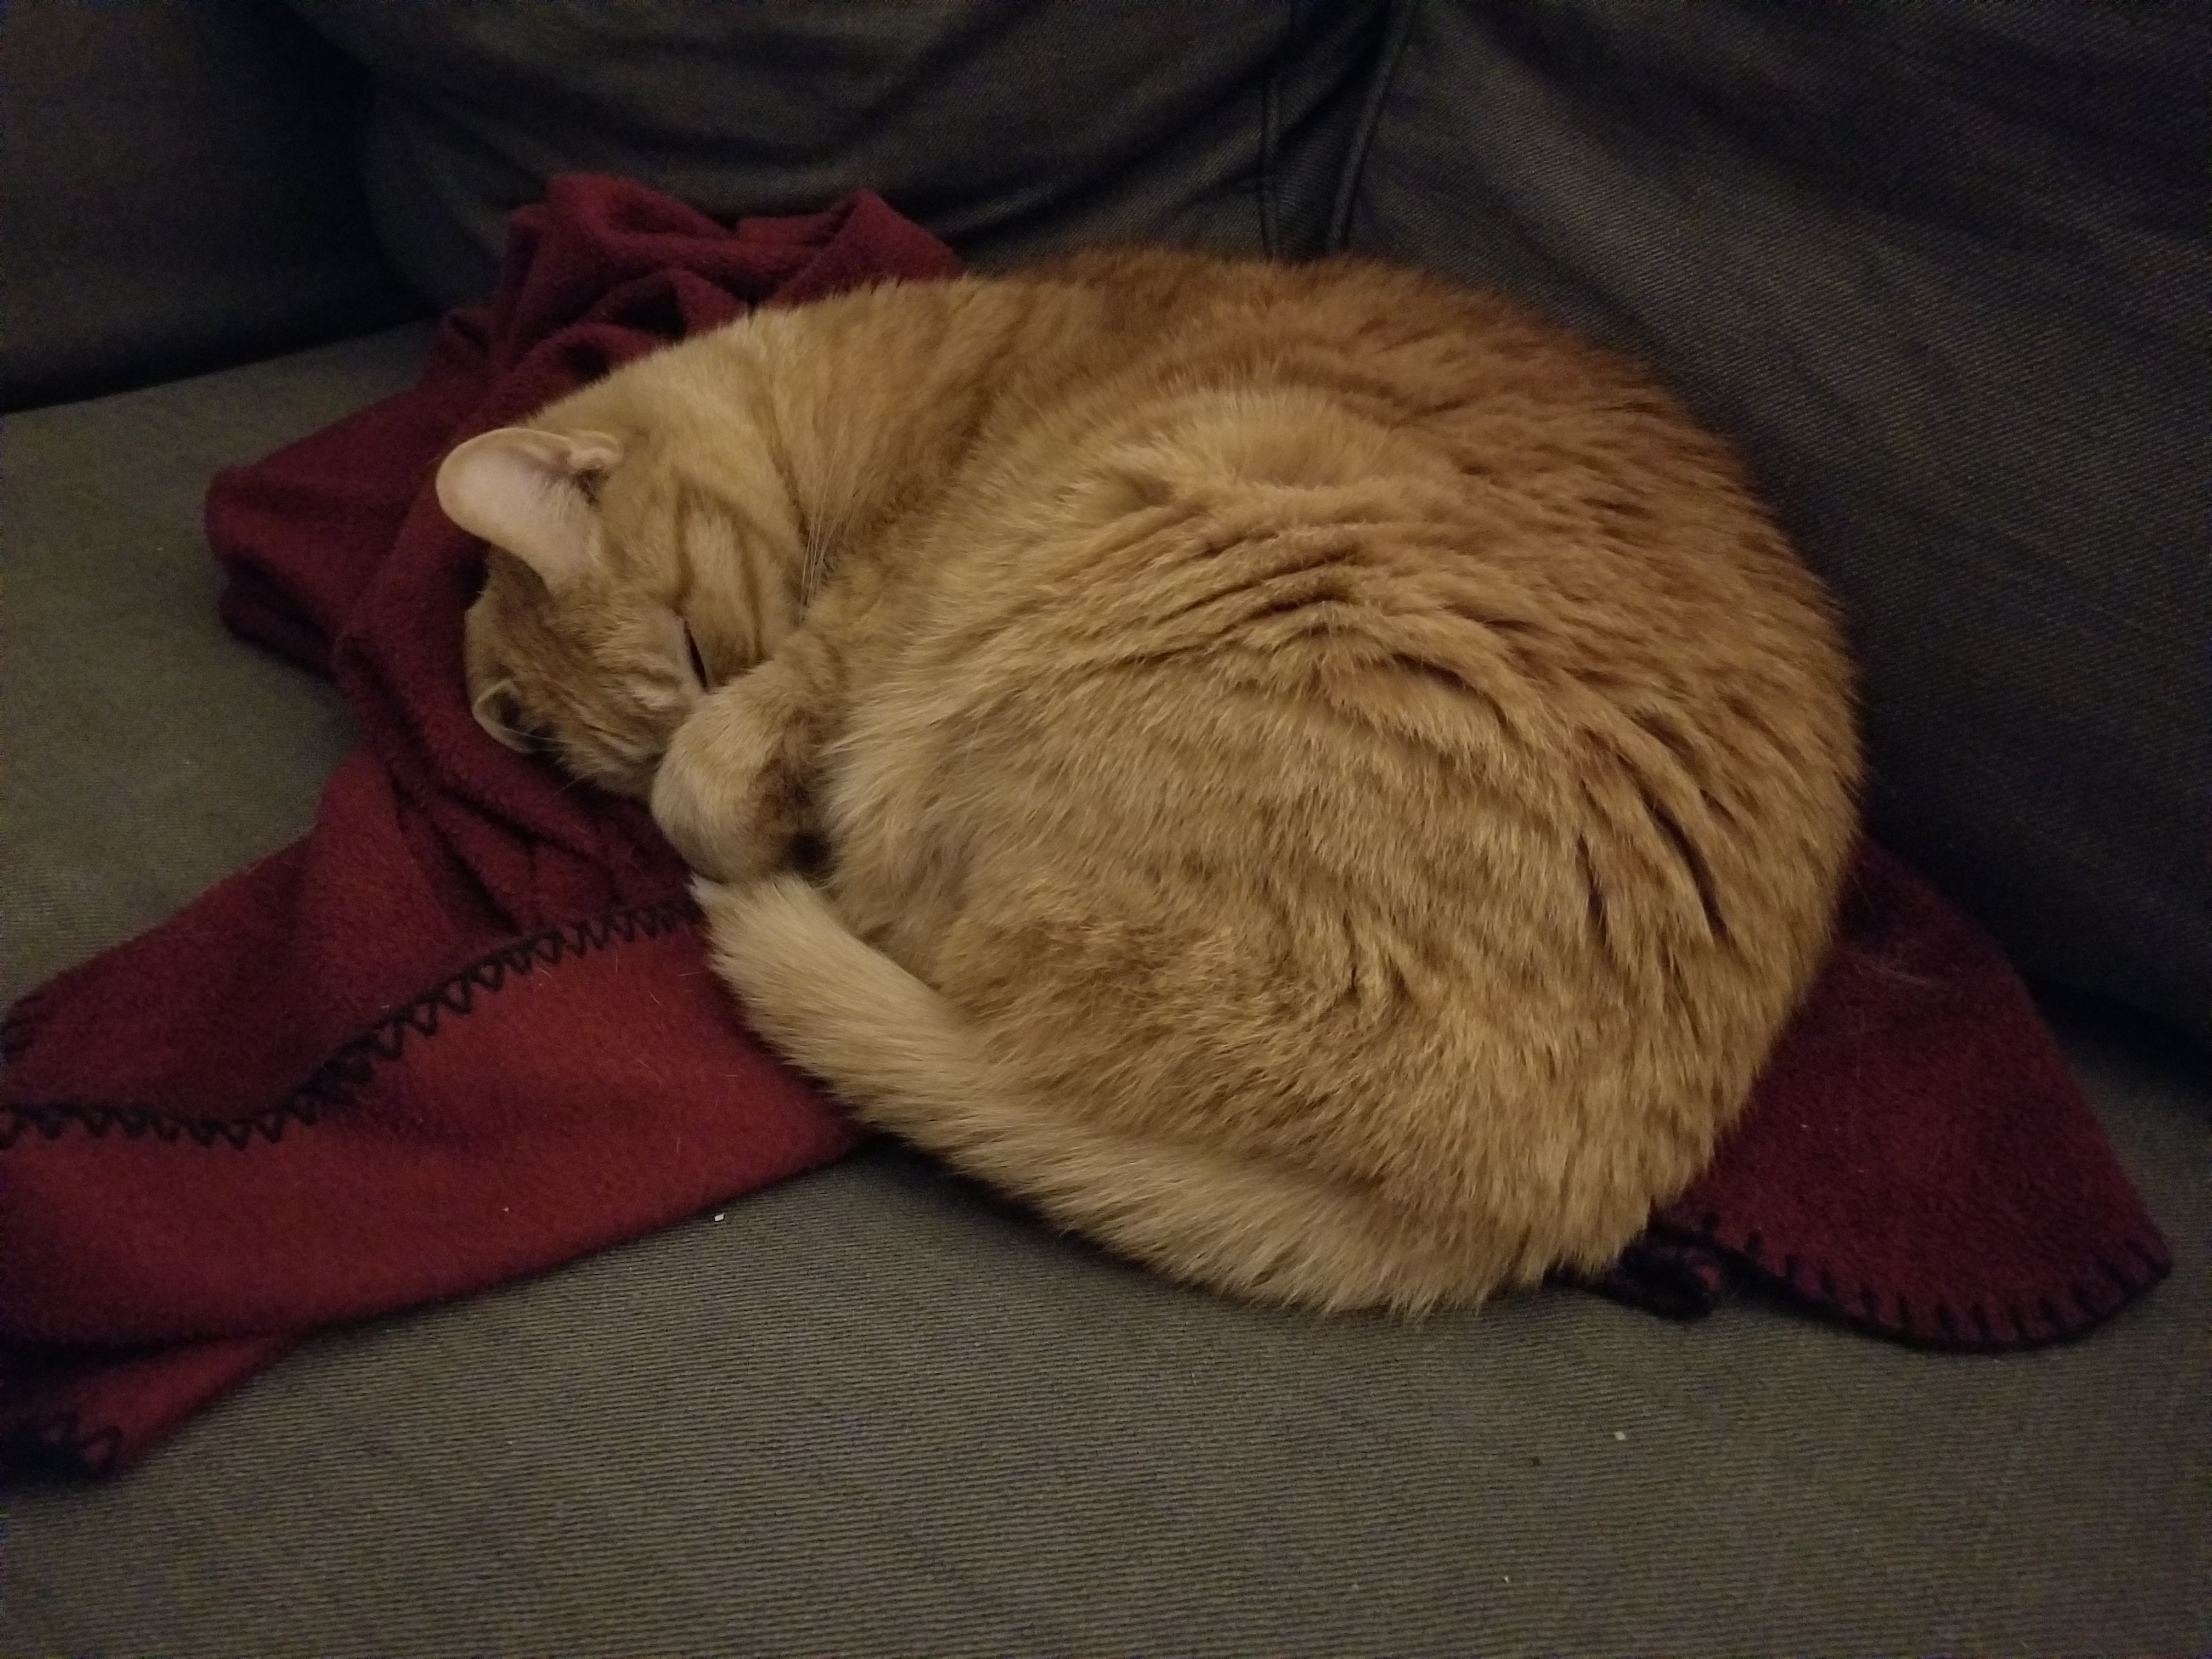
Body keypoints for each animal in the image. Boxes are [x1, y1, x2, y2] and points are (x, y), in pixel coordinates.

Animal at [440, 243, 1858, 1309]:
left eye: (692, 645)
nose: (721, 677)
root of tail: (1565, 1203)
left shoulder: (851, 629)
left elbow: (712, 782)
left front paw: (731, 792)